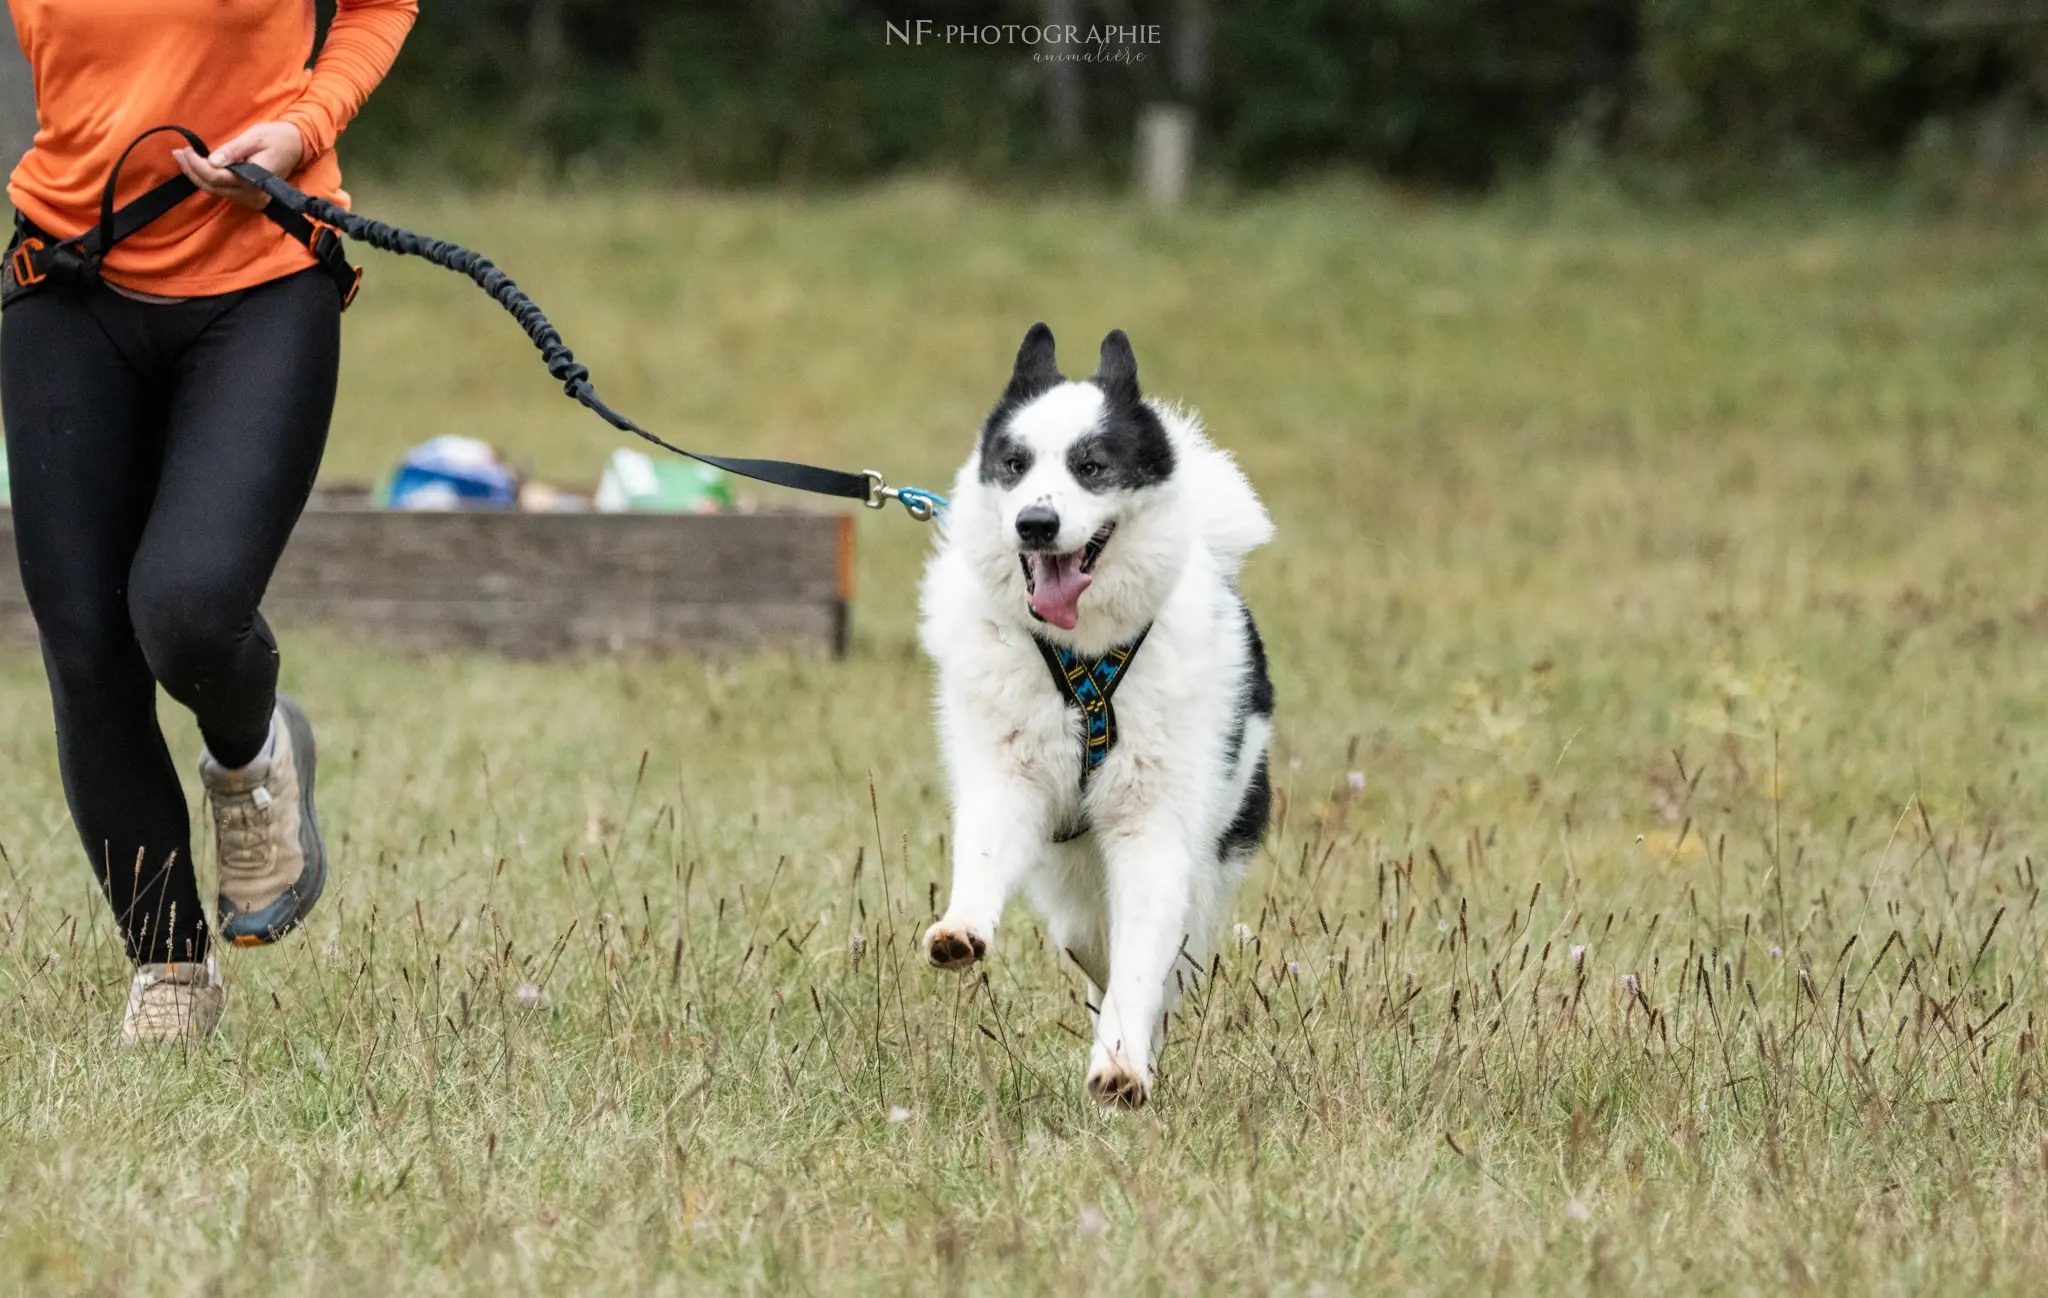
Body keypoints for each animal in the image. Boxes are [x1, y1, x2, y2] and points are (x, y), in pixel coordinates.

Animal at [921, 323, 1269, 1105]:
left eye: (1092, 466)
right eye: (1014, 463)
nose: (1035, 523)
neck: (1083, 655)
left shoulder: (1156, 833)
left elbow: (1142, 966)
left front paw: (1121, 1065)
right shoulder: (1009, 778)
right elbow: (982, 856)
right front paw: (961, 928)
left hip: (1205, 879)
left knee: (1164, 965)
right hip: (1074, 893)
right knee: (1092, 948)